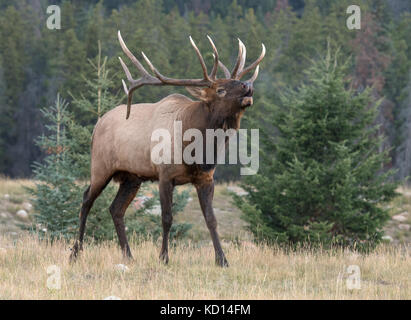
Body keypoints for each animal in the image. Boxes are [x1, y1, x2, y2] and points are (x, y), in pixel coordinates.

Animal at [69, 30, 266, 268]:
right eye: (220, 89)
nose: (248, 85)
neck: (197, 150)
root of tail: (96, 125)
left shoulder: (206, 178)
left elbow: (211, 219)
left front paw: (222, 260)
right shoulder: (164, 175)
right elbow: (167, 218)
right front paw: (163, 257)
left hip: (131, 177)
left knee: (115, 209)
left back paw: (128, 255)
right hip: (100, 167)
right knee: (86, 200)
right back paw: (75, 253)